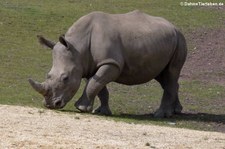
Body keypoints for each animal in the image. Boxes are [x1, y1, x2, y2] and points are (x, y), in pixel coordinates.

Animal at [29, 10, 188, 117]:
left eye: (65, 78)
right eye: (48, 75)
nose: (50, 105)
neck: (78, 46)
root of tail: (174, 26)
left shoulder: (111, 63)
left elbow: (94, 84)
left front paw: (81, 108)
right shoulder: (88, 64)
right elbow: (98, 86)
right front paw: (101, 111)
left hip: (180, 39)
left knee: (171, 72)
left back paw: (161, 114)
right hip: (163, 41)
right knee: (163, 76)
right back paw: (176, 111)